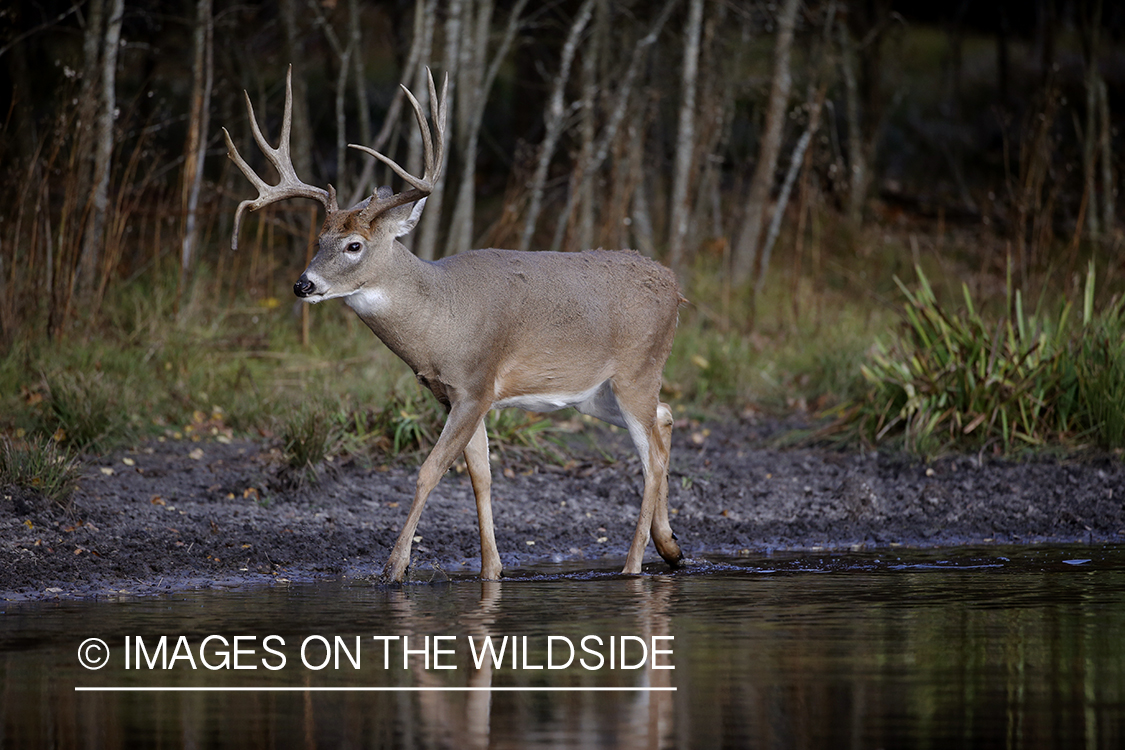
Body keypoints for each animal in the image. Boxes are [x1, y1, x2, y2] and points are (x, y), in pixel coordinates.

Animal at [217, 67, 675, 584]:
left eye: (354, 245)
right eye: (319, 239)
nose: (303, 284)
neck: (441, 322)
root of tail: (674, 283)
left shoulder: (476, 386)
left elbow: (429, 471)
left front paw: (394, 568)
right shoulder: (453, 395)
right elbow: (481, 476)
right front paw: (491, 571)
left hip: (637, 370)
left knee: (651, 458)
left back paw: (633, 566)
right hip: (596, 393)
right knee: (665, 418)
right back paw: (670, 547)